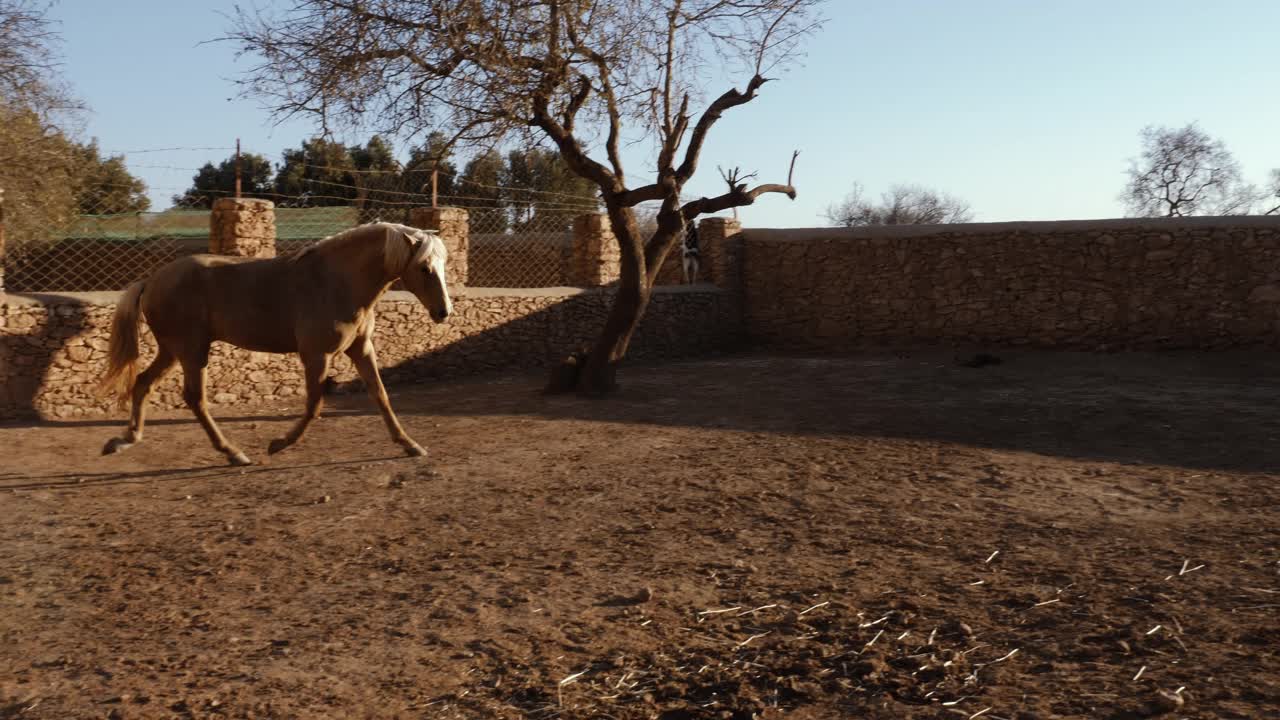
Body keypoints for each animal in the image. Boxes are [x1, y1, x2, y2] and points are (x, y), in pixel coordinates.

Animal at [94, 221, 448, 461]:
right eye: (424, 267)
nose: (444, 312)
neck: (335, 281)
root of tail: (152, 280)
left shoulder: (360, 350)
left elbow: (381, 395)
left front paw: (410, 445)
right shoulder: (316, 355)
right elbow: (314, 405)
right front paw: (279, 444)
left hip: (172, 350)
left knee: (143, 383)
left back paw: (125, 440)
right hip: (192, 351)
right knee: (195, 398)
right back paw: (232, 452)